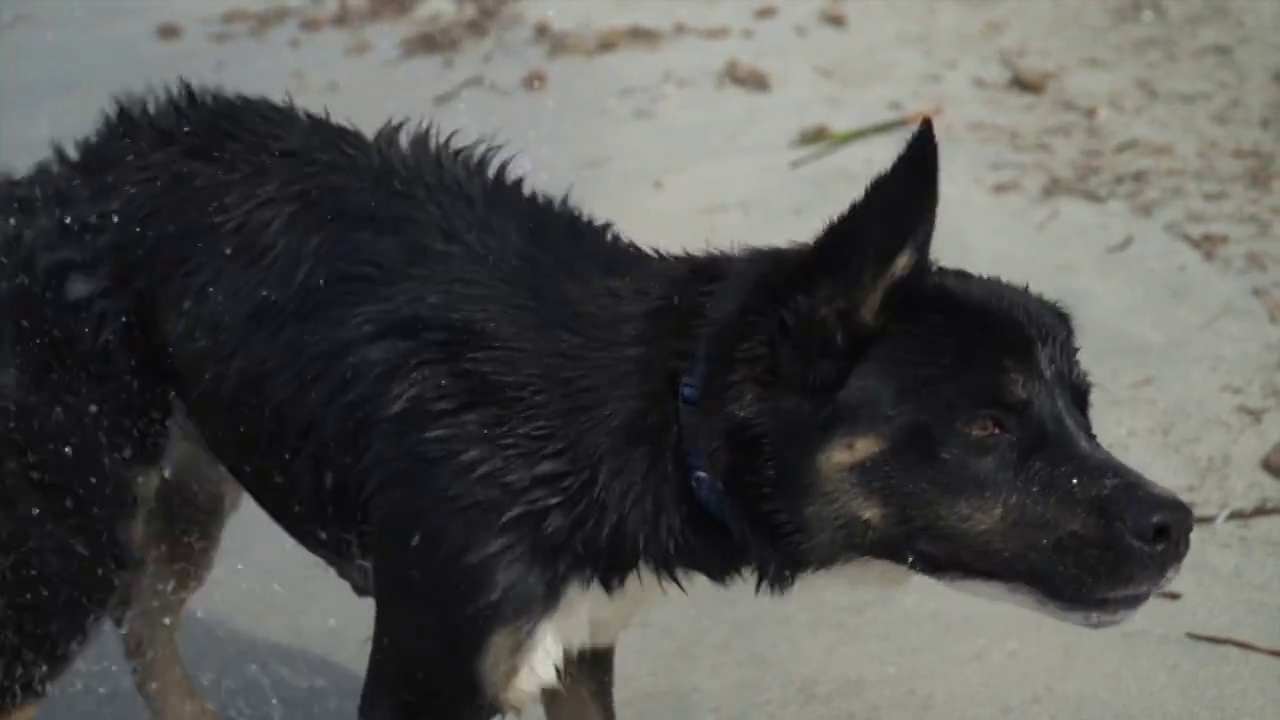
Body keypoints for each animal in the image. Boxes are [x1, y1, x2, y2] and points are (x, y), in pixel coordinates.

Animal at [5, 85, 1192, 717]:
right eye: (988, 426)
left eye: (1082, 413)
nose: (1175, 526)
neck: (659, 413)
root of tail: (53, 185)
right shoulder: (434, 665)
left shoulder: (578, 650)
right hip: (71, 533)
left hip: (185, 489)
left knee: (148, 619)